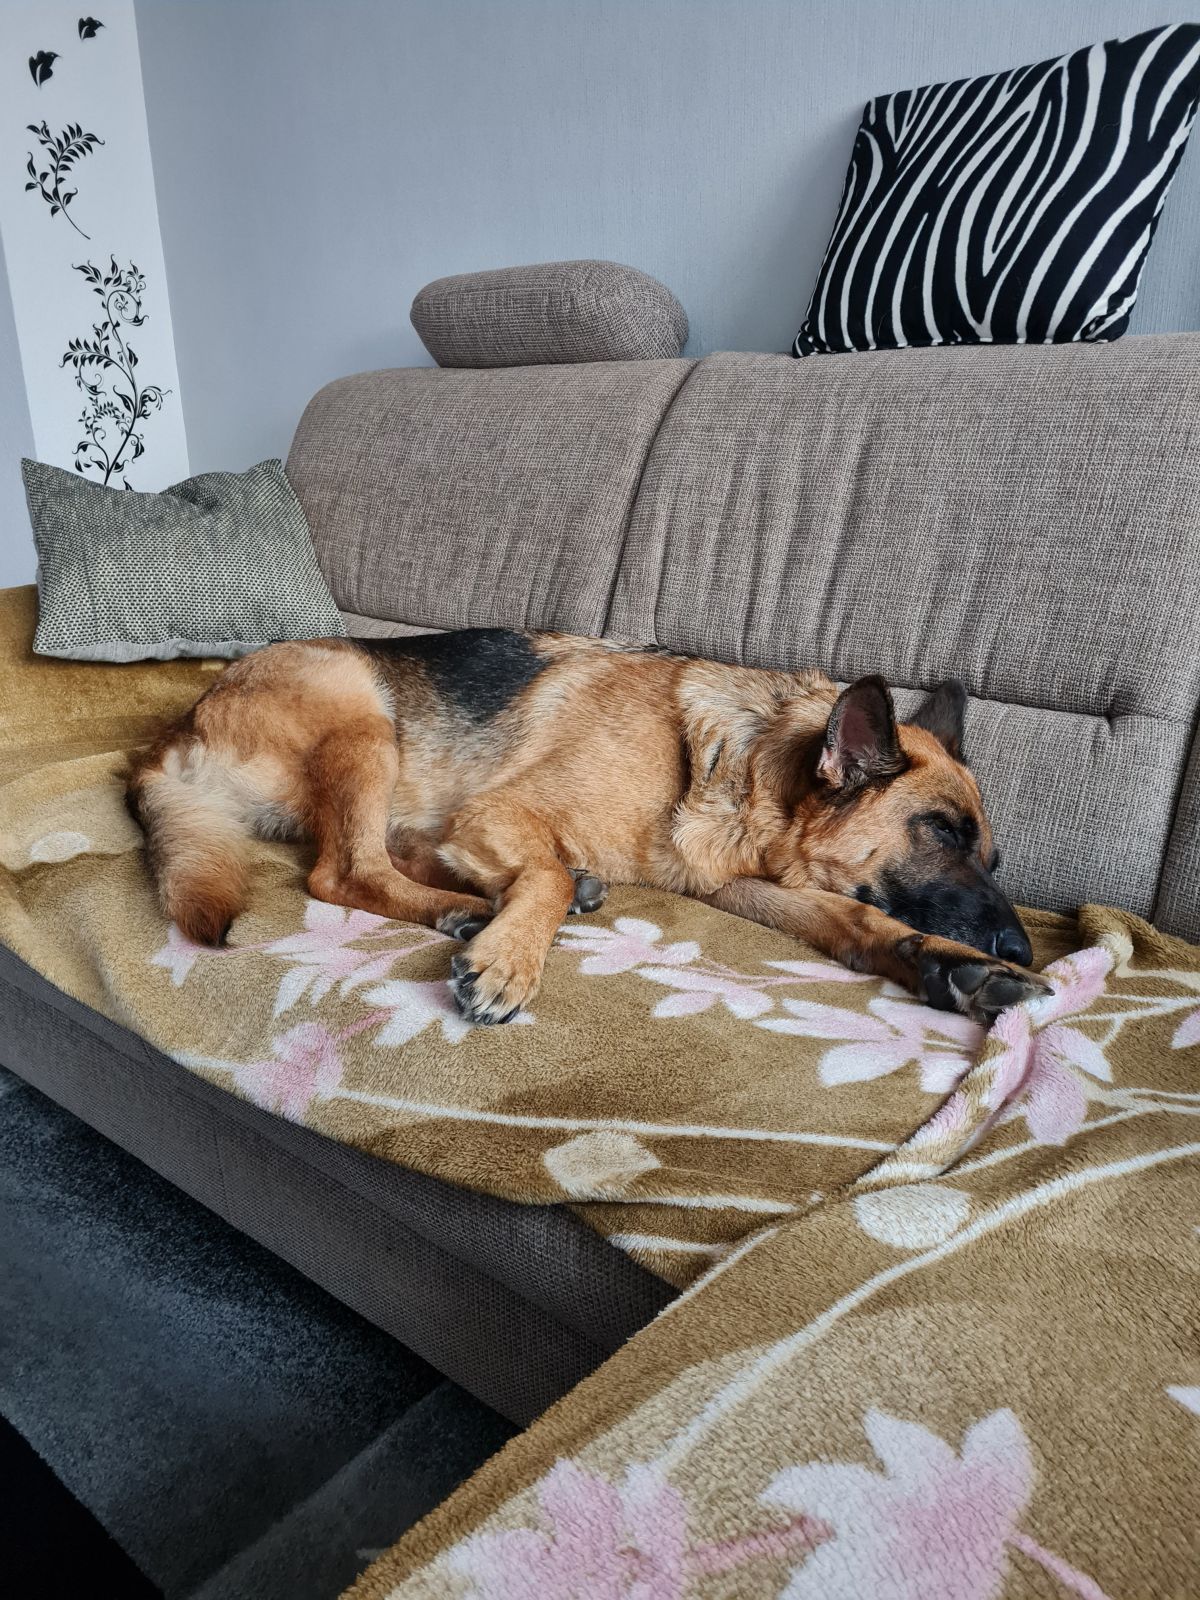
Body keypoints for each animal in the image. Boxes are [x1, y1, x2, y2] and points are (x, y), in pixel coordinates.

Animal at [127, 627, 1049, 1024]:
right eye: (941, 832)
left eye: (992, 853)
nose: (1025, 949)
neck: (745, 762)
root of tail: (170, 737)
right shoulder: (501, 811)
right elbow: (541, 869)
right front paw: (510, 959)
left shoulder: (742, 888)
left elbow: (856, 919)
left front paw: (956, 969)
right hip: (362, 712)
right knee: (341, 870)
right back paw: (470, 913)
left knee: (386, 852)